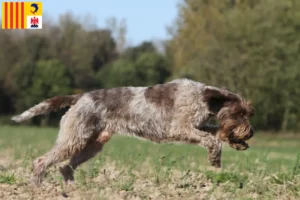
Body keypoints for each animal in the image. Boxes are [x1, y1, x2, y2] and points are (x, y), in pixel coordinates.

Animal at [12, 79, 255, 185]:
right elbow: (213, 141)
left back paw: (72, 190)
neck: (204, 98)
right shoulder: (180, 127)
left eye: (248, 113)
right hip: (74, 139)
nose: (251, 133)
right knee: (41, 161)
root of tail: (80, 97)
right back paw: (37, 187)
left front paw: (235, 142)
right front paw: (215, 159)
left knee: (65, 166)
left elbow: (216, 133)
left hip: (91, 145)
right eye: (240, 113)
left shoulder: (198, 126)